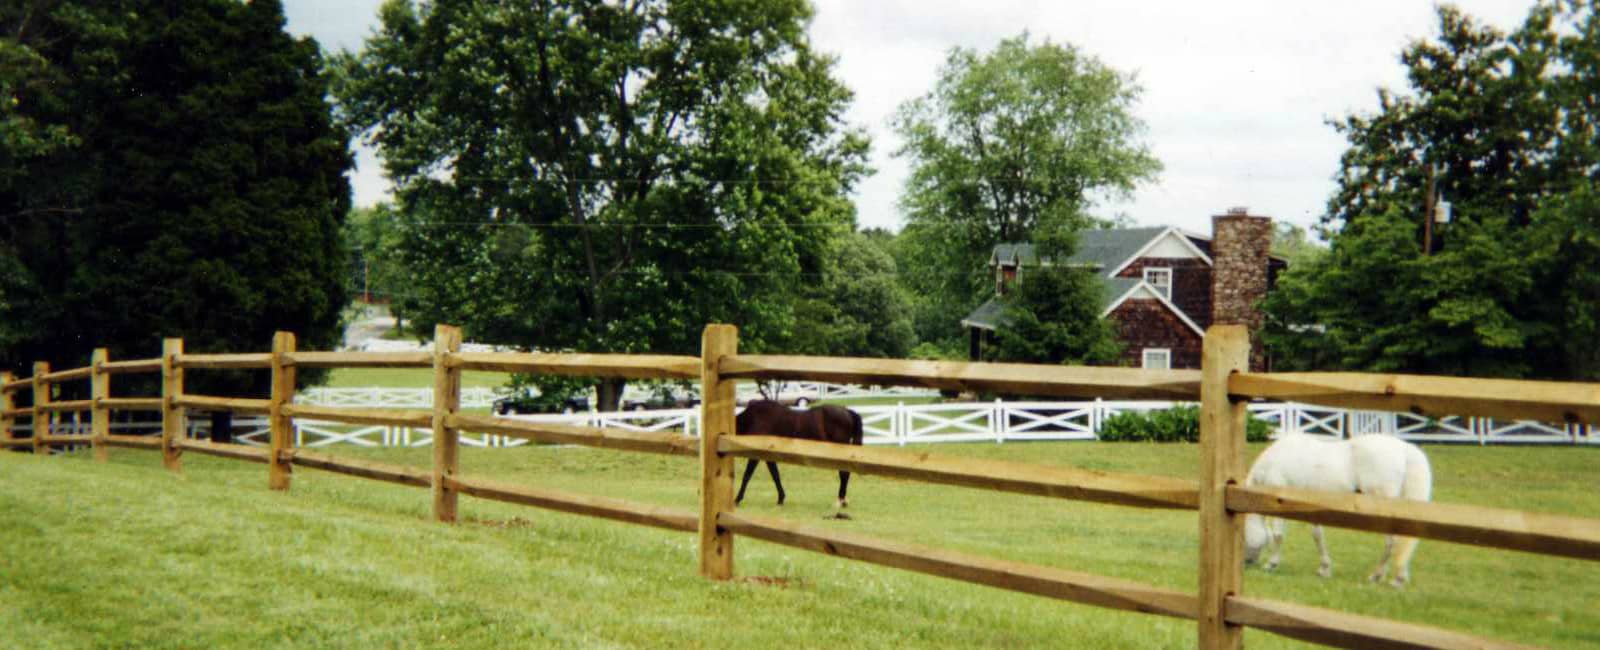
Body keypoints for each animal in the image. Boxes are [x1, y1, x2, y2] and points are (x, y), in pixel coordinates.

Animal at [732, 398, 864, 509]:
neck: (754, 418)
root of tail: (847, 411)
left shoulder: (756, 455)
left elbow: (747, 476)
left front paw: (737, 499)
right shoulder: (768, 455)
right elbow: (775, 475)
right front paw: (781, 499)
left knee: (844, 473)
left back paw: (840, 501)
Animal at [1241, 435, 1433, 585]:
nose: (1246, 562)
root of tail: (1405, 449)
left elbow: (1278, 535)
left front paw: (1271, 564)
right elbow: (1318, 536)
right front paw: (1324, 569)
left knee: (1392, 541)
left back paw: (1378, 576)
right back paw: (1398, 577)